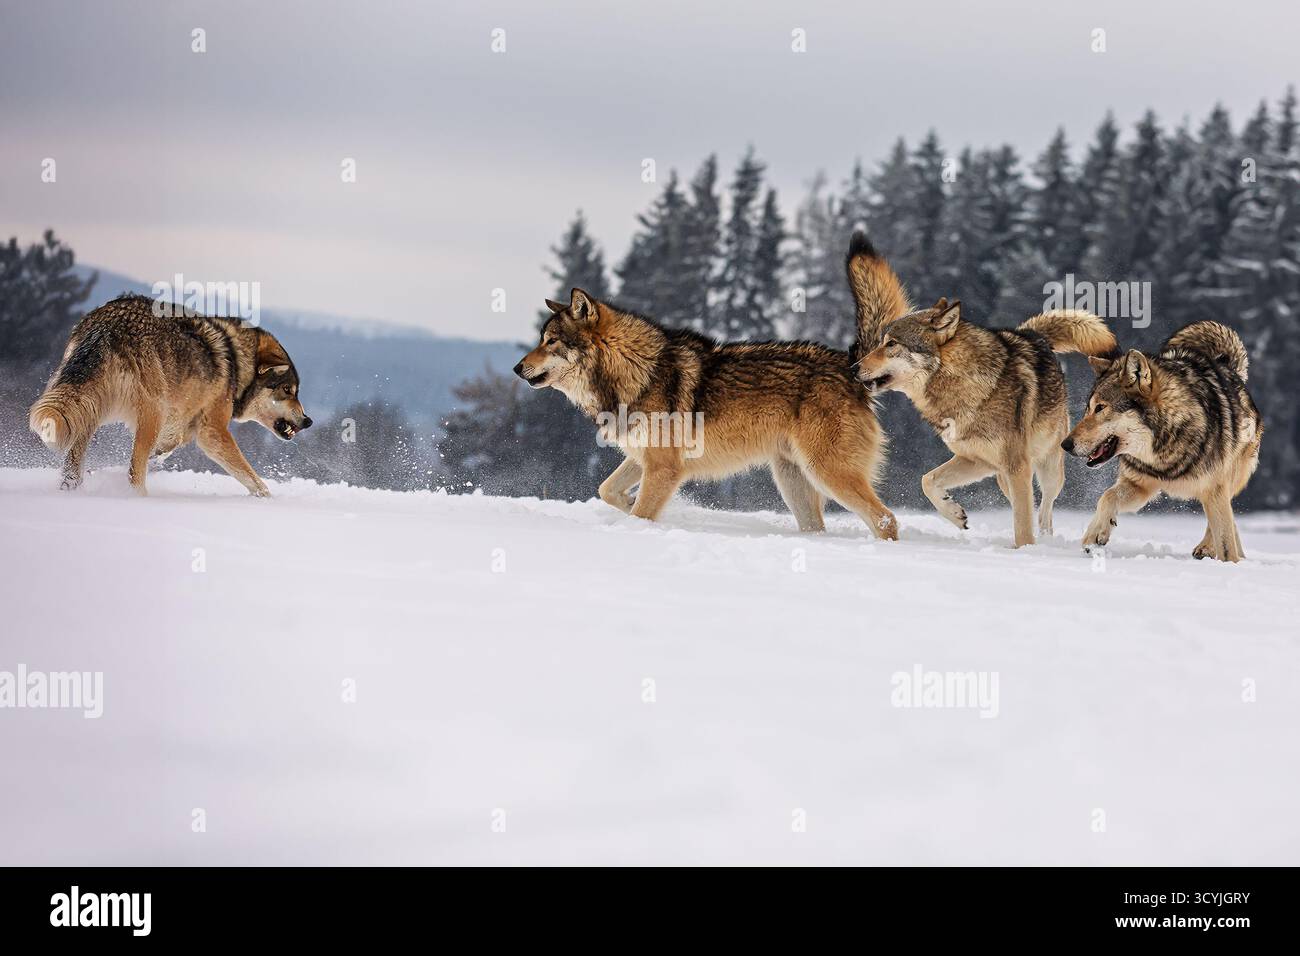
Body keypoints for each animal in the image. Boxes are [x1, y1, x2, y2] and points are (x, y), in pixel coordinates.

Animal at [29, 294, 312, 496]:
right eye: (288, 390)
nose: (308, 421)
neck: (237, 362)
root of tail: (107, 326)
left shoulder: (179, 423)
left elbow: (168, 447)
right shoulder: (213, 432)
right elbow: (252, 478)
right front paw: (270, 501)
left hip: (88, 409)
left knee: (73, 469)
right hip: (152, 411)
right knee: (134, 472)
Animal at [513, 285, 900, 538]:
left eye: (550, 342)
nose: (517, 368)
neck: (639, 371)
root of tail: (852, 367)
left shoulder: (664, 468)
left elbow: (639, 511)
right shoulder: (645, 459)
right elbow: (607, 490)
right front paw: (641, 507)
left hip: (828, 473)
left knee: (886, 519)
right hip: (793, 481)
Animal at [848, 233, 1118, 546]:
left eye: (891, 344)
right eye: (881, 342)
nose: (853, 367)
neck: (963, 387)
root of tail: (1032, 333)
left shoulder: (1016, 465)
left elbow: (1023, 526)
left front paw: (1025, 550)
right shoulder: (976, 460)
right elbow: (927, 480)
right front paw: (955, 514)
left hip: (1047, 467)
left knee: (1045, 509)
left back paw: (1047, 538)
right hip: (1001, 475)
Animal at [1062, 321, 1262, 561]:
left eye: (1100, 408)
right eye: (1088, 409)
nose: (1065, 445)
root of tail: (1226, 365)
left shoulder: (1215, 489)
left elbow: (1225, 540)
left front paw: (1228, 563)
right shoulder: (1139, 485)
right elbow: (1107, 497)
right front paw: (1094, 535)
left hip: (1231, 478)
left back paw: (1209, 548)